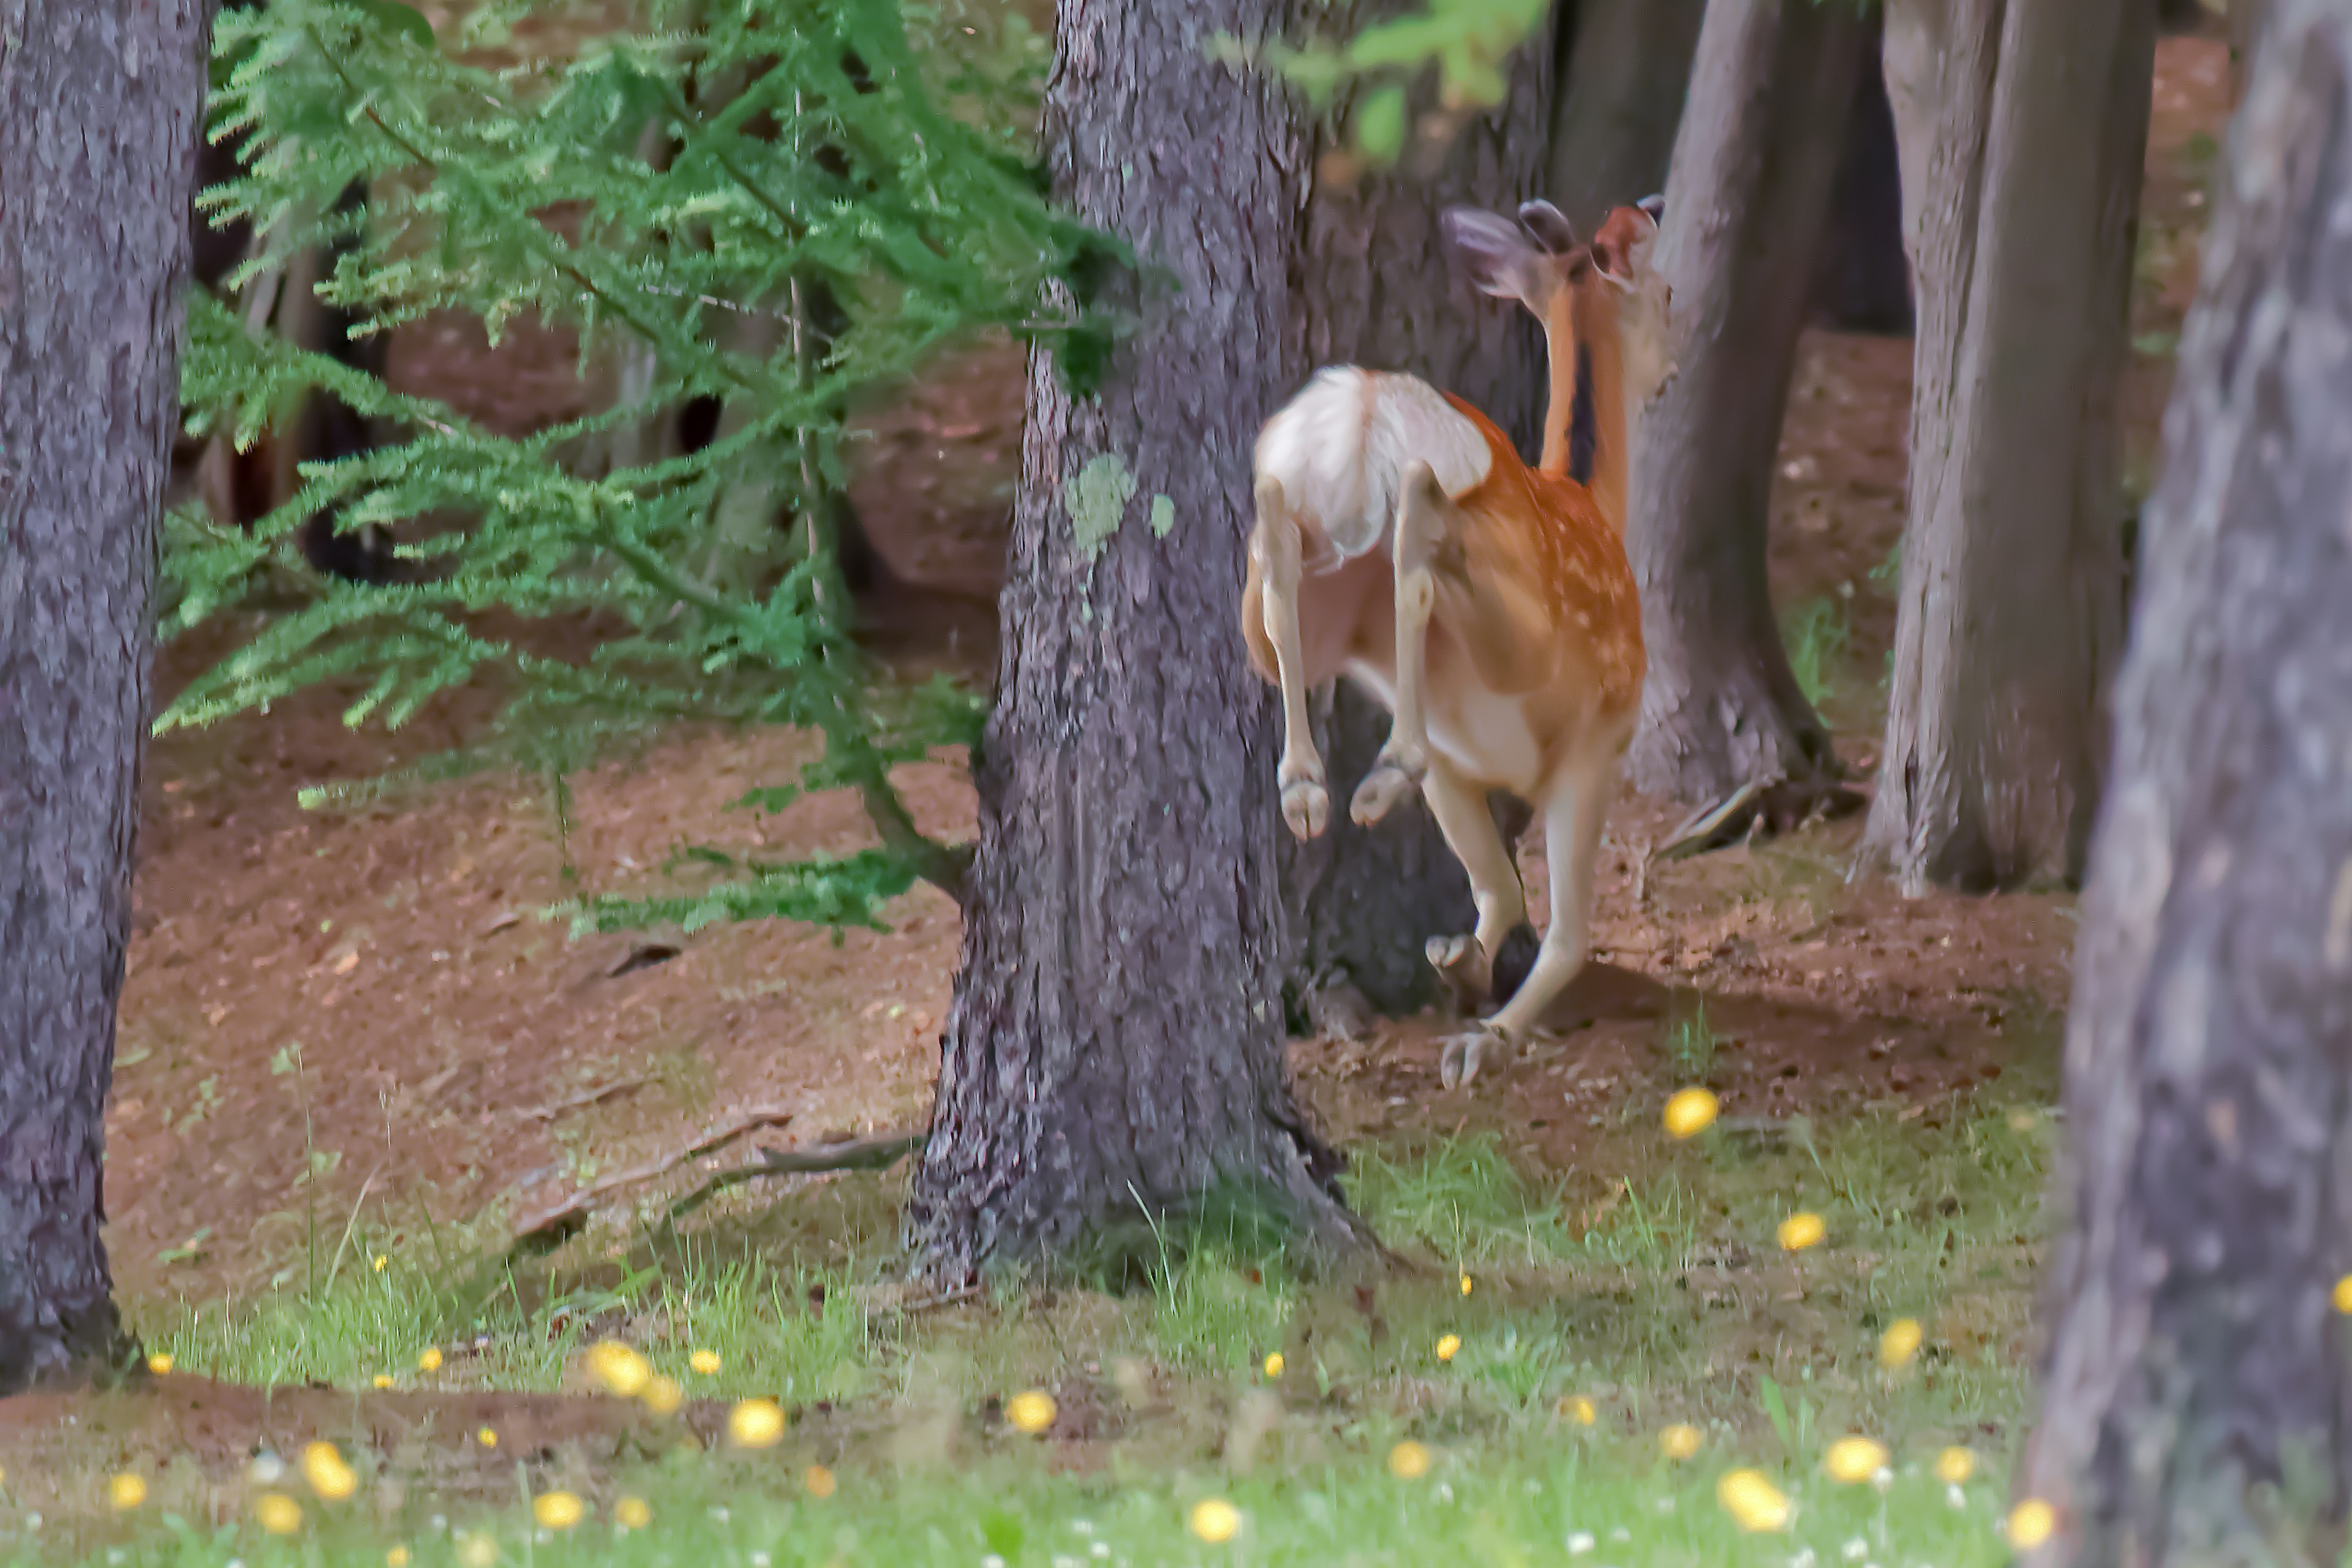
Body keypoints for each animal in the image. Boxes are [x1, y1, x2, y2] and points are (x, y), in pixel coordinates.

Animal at [1251, 196, 1675, 1090]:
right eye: (1666, 294)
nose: (1673, 366)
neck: (1591, 496)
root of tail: (1369, 404)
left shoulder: (1458, 766)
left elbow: (1499, 895)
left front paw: (1459, 965)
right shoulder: (1599, 740)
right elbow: (1563, 934)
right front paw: (1488, 1032)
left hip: (1302, 557)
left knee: (1276, 556)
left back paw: (1316, 789)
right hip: (1517, 622)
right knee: (1418, 524)